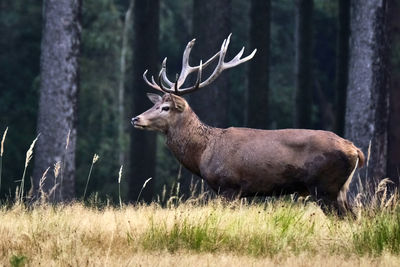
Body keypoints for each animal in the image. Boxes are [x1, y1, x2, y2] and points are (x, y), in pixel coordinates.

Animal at [132, 34, 366, 218]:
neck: (203, 152)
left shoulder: (229, 186)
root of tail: (355, 150)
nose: (135, 118)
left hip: (325, 186)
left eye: (166, 107)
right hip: (340, 189)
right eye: (155, 104)